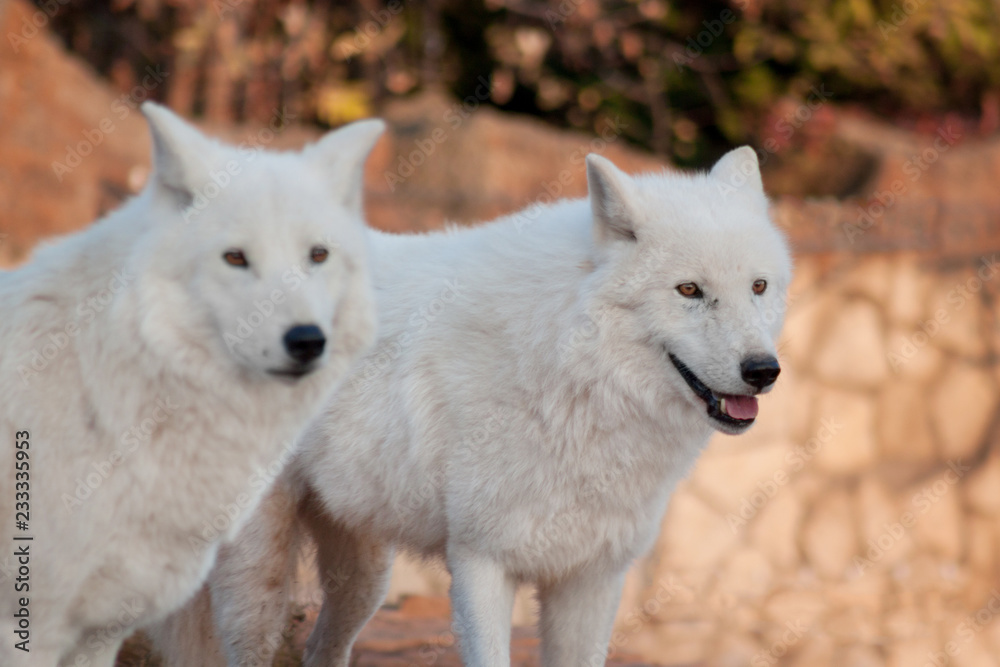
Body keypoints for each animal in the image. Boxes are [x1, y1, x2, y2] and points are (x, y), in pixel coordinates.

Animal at [158, 144, 788, 664]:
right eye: (689, 291)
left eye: (758, 287)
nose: (764, 371)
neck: (571, 368)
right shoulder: (481, 563)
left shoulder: (591, 578)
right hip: (260, 579)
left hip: (365, 576)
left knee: (323, 649)